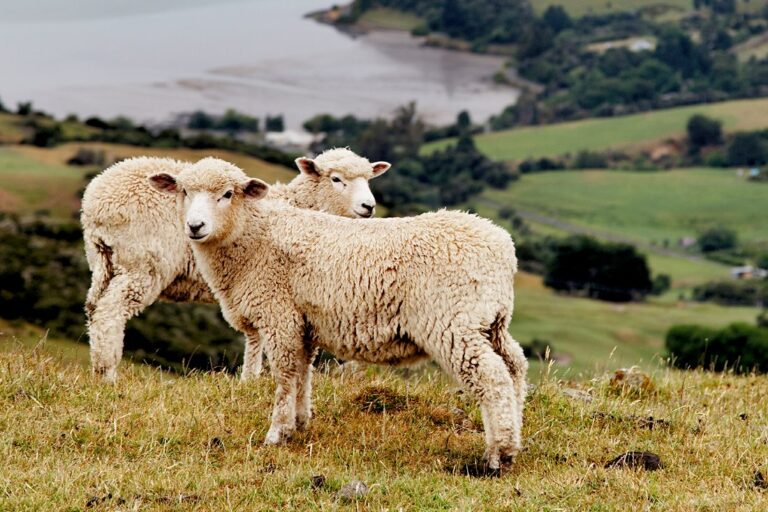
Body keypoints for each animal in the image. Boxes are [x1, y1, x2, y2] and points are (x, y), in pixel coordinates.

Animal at [81, 149, 390, 382]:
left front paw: (250, 379)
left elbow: (256, 335)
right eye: (336, 179)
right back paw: (109, 374)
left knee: (94, 308)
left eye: (369, 178)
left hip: (103, 261)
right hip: (142, 263)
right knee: (110, 312)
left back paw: (96, 370)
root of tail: (96, 203)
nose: (369, 206)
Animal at [148, 157, 527, 469]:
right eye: (184, 191)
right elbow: (302, 371)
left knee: (492, 378)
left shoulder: (279, 315)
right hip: (491, 320)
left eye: (227, 194)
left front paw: (276, 432)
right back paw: (516, 435)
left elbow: (284, 374)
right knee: (515, 366)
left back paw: (498, 454)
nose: (195, 226)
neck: (252, 236)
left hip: (454, 323)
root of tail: (503, 247)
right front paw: (299, 423)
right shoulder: (304, 321)